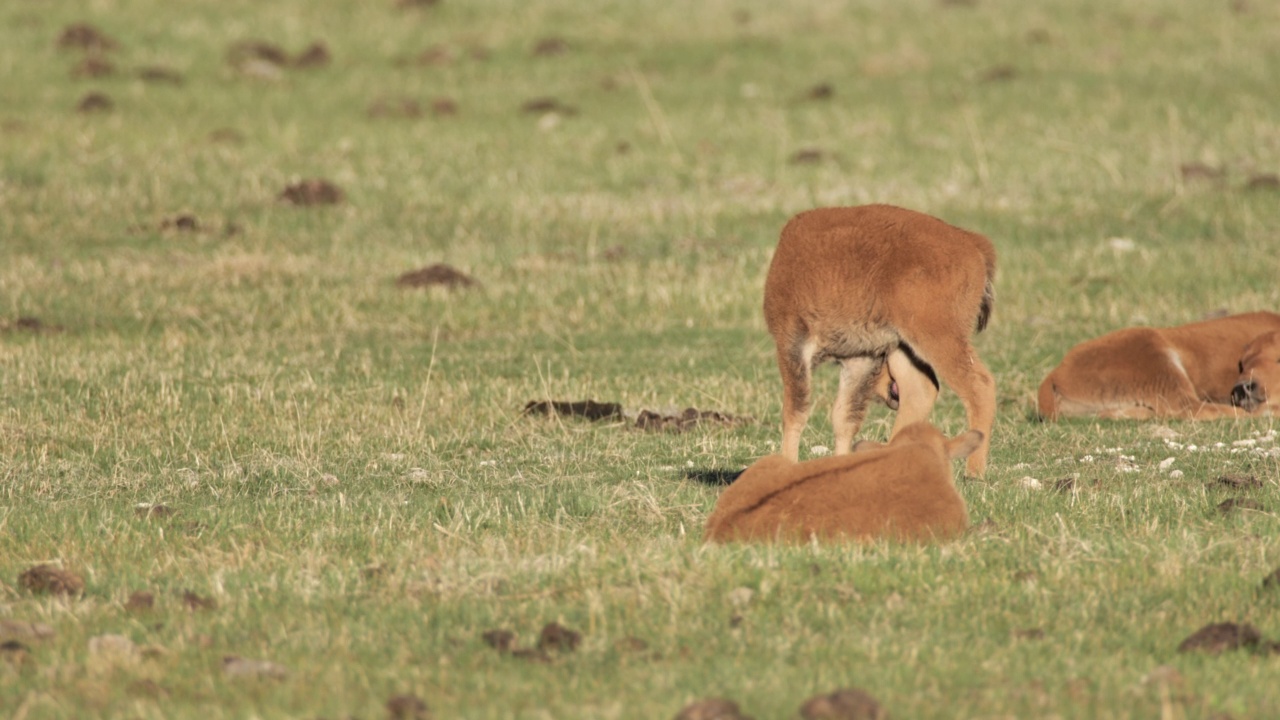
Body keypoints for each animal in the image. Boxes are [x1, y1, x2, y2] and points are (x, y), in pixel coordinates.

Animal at [757, 202, 998, 474]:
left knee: (979, 385)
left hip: (938, 338)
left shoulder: (793, 344)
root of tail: (972, 244)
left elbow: (795, 411)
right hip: (905, 346)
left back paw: (973, 472)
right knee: (921, 390)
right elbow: (844, 417)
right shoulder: (860, 356)